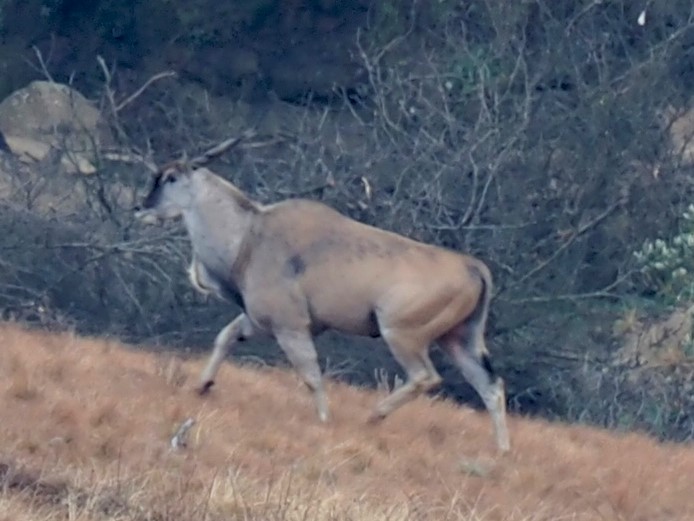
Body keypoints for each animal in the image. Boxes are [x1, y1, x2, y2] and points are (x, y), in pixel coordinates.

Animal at [139, 160, 512, 448]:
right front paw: (202, 386)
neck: (249, 234)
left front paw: (323, 419)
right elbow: (225, 337)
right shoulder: (258, 322)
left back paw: (374, 415)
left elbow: (311, 375)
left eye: (170, 178)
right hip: (458, 340)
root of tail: (473, 267)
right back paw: (502, 450)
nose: (141, 208)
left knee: (426, 377)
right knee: (491, 386)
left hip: (402, 334)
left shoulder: (290, 326)